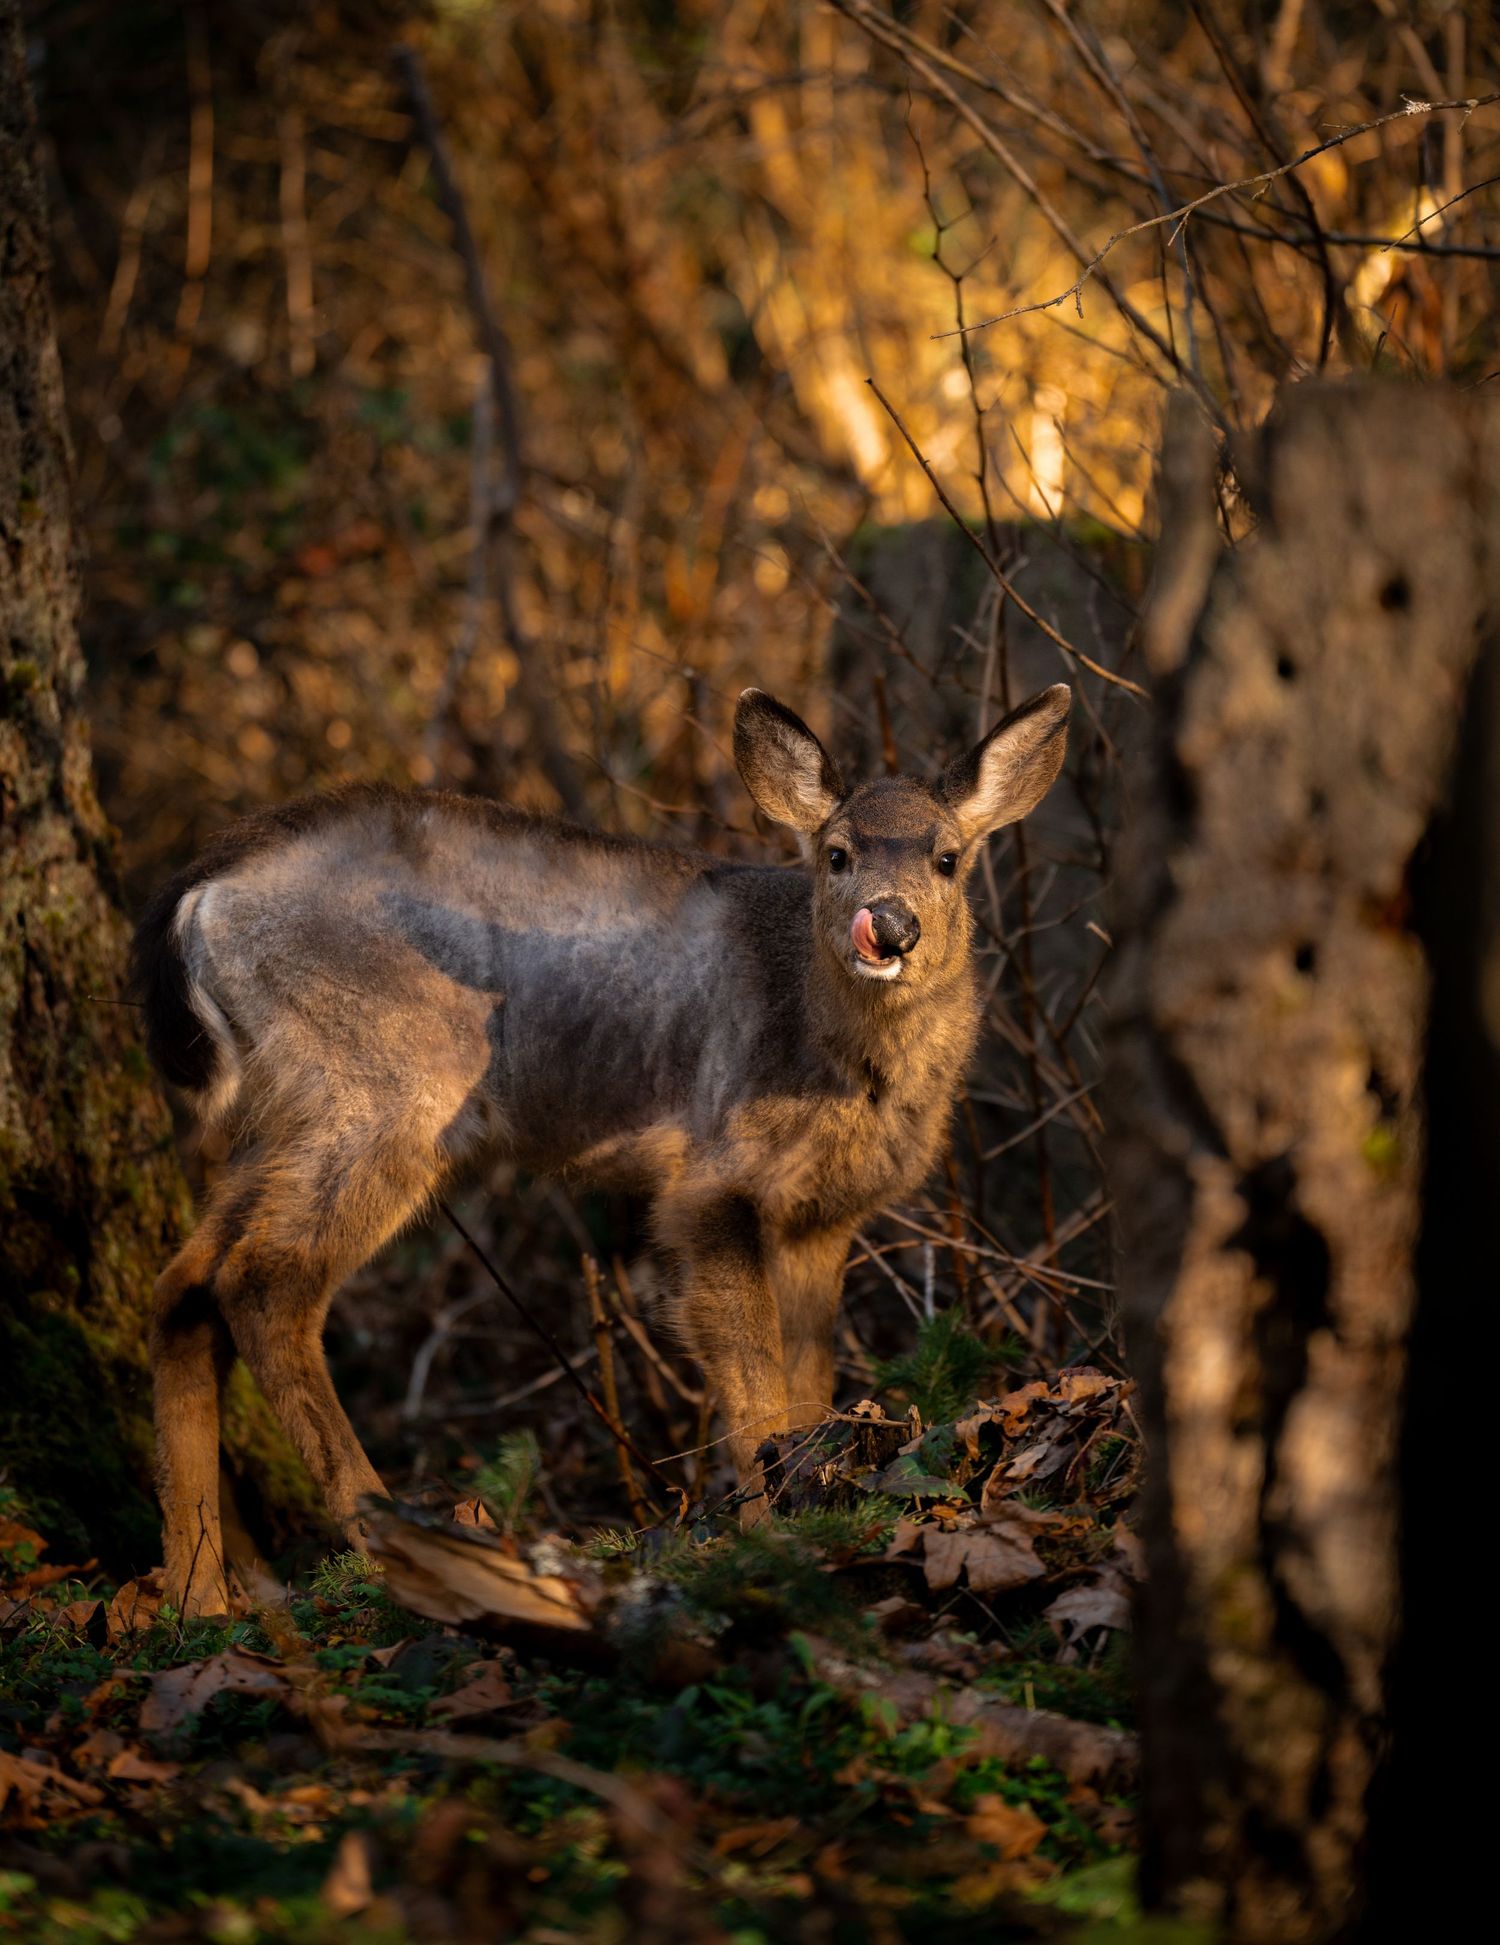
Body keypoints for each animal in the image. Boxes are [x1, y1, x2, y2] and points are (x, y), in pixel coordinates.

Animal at [132, 681, 1070, 1615]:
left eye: (947, 857)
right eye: (836, 855)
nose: (890, 923)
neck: (836, 1056)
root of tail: (205, 892)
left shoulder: (821, 1212)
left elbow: (811, 1379)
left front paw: (815, 1502)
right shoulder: (710, 1180)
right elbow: (753, 1379)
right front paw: (769, 1532)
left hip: (291, 1108)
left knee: (184, 1285)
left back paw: (196, 1594)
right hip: (380, 1088)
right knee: (262, 1284)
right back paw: (378, 1538)